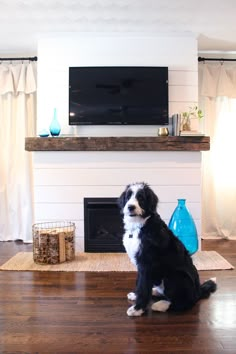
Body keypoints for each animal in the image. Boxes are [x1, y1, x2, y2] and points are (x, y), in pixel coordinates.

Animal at [119, 181, 217, 316]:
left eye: (141, 198)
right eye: (128, 197)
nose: (130, 207)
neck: (140, 226)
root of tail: (198, 292)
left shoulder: (146, 263)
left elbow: (143, 286)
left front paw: (137, 309)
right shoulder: (140, 264)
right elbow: (140, 283)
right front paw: (136, 295)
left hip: (175, 276)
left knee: (185, 303)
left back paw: (161, 305)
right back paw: (155, 291)